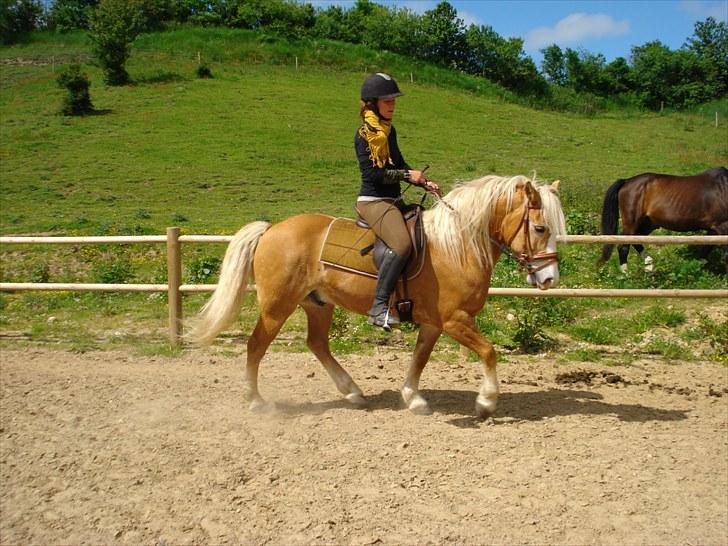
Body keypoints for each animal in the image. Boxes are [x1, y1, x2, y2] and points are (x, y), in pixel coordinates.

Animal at [188, 174, 564, 416]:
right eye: (540, 228)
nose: (549, 278)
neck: (456, 246)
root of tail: (271, 229)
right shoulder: (455, 320)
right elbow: (488, 352)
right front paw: (486, 402)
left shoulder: (434, 324)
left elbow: (419, 359)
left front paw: (413, 398)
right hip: (276, 307)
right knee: (256, 346)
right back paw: (256, 401)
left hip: (318, 305)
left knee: (317, 344)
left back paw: (353, 392)